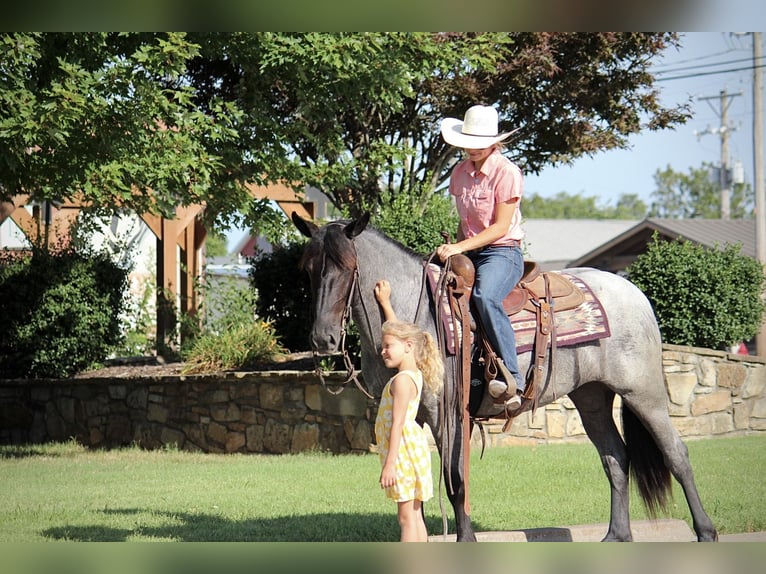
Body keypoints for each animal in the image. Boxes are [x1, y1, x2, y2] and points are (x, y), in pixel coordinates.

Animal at [292, 212, 718, 542]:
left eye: (348, 266)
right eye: (309, 269)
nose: (322, 339)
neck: (417, 315)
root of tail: (633, 290)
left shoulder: (448, 413)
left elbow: (456, 478)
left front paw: (466, 539)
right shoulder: (408, 412)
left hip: (643, 392)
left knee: (676, 454)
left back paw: (705, 532)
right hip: (591, 396)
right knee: (615, 457)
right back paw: (617, 535)